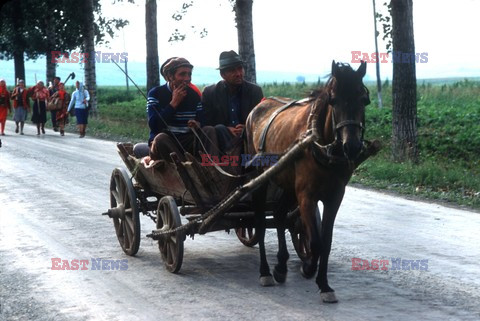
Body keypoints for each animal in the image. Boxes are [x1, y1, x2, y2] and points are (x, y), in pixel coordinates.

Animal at [246, 60, 376, 302]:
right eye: (333, 100)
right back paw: (265, 271)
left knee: (279, 214)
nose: (352, 146)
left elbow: (326, 241)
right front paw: (308, 268)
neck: (322, 147)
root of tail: (258, 107)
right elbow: (315, 242)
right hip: (259, 178)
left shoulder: (335, 197)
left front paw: (324, 284)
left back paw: (281, 265)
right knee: (259, 222)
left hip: (287, 182)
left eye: (364, 99)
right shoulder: (307, 197)